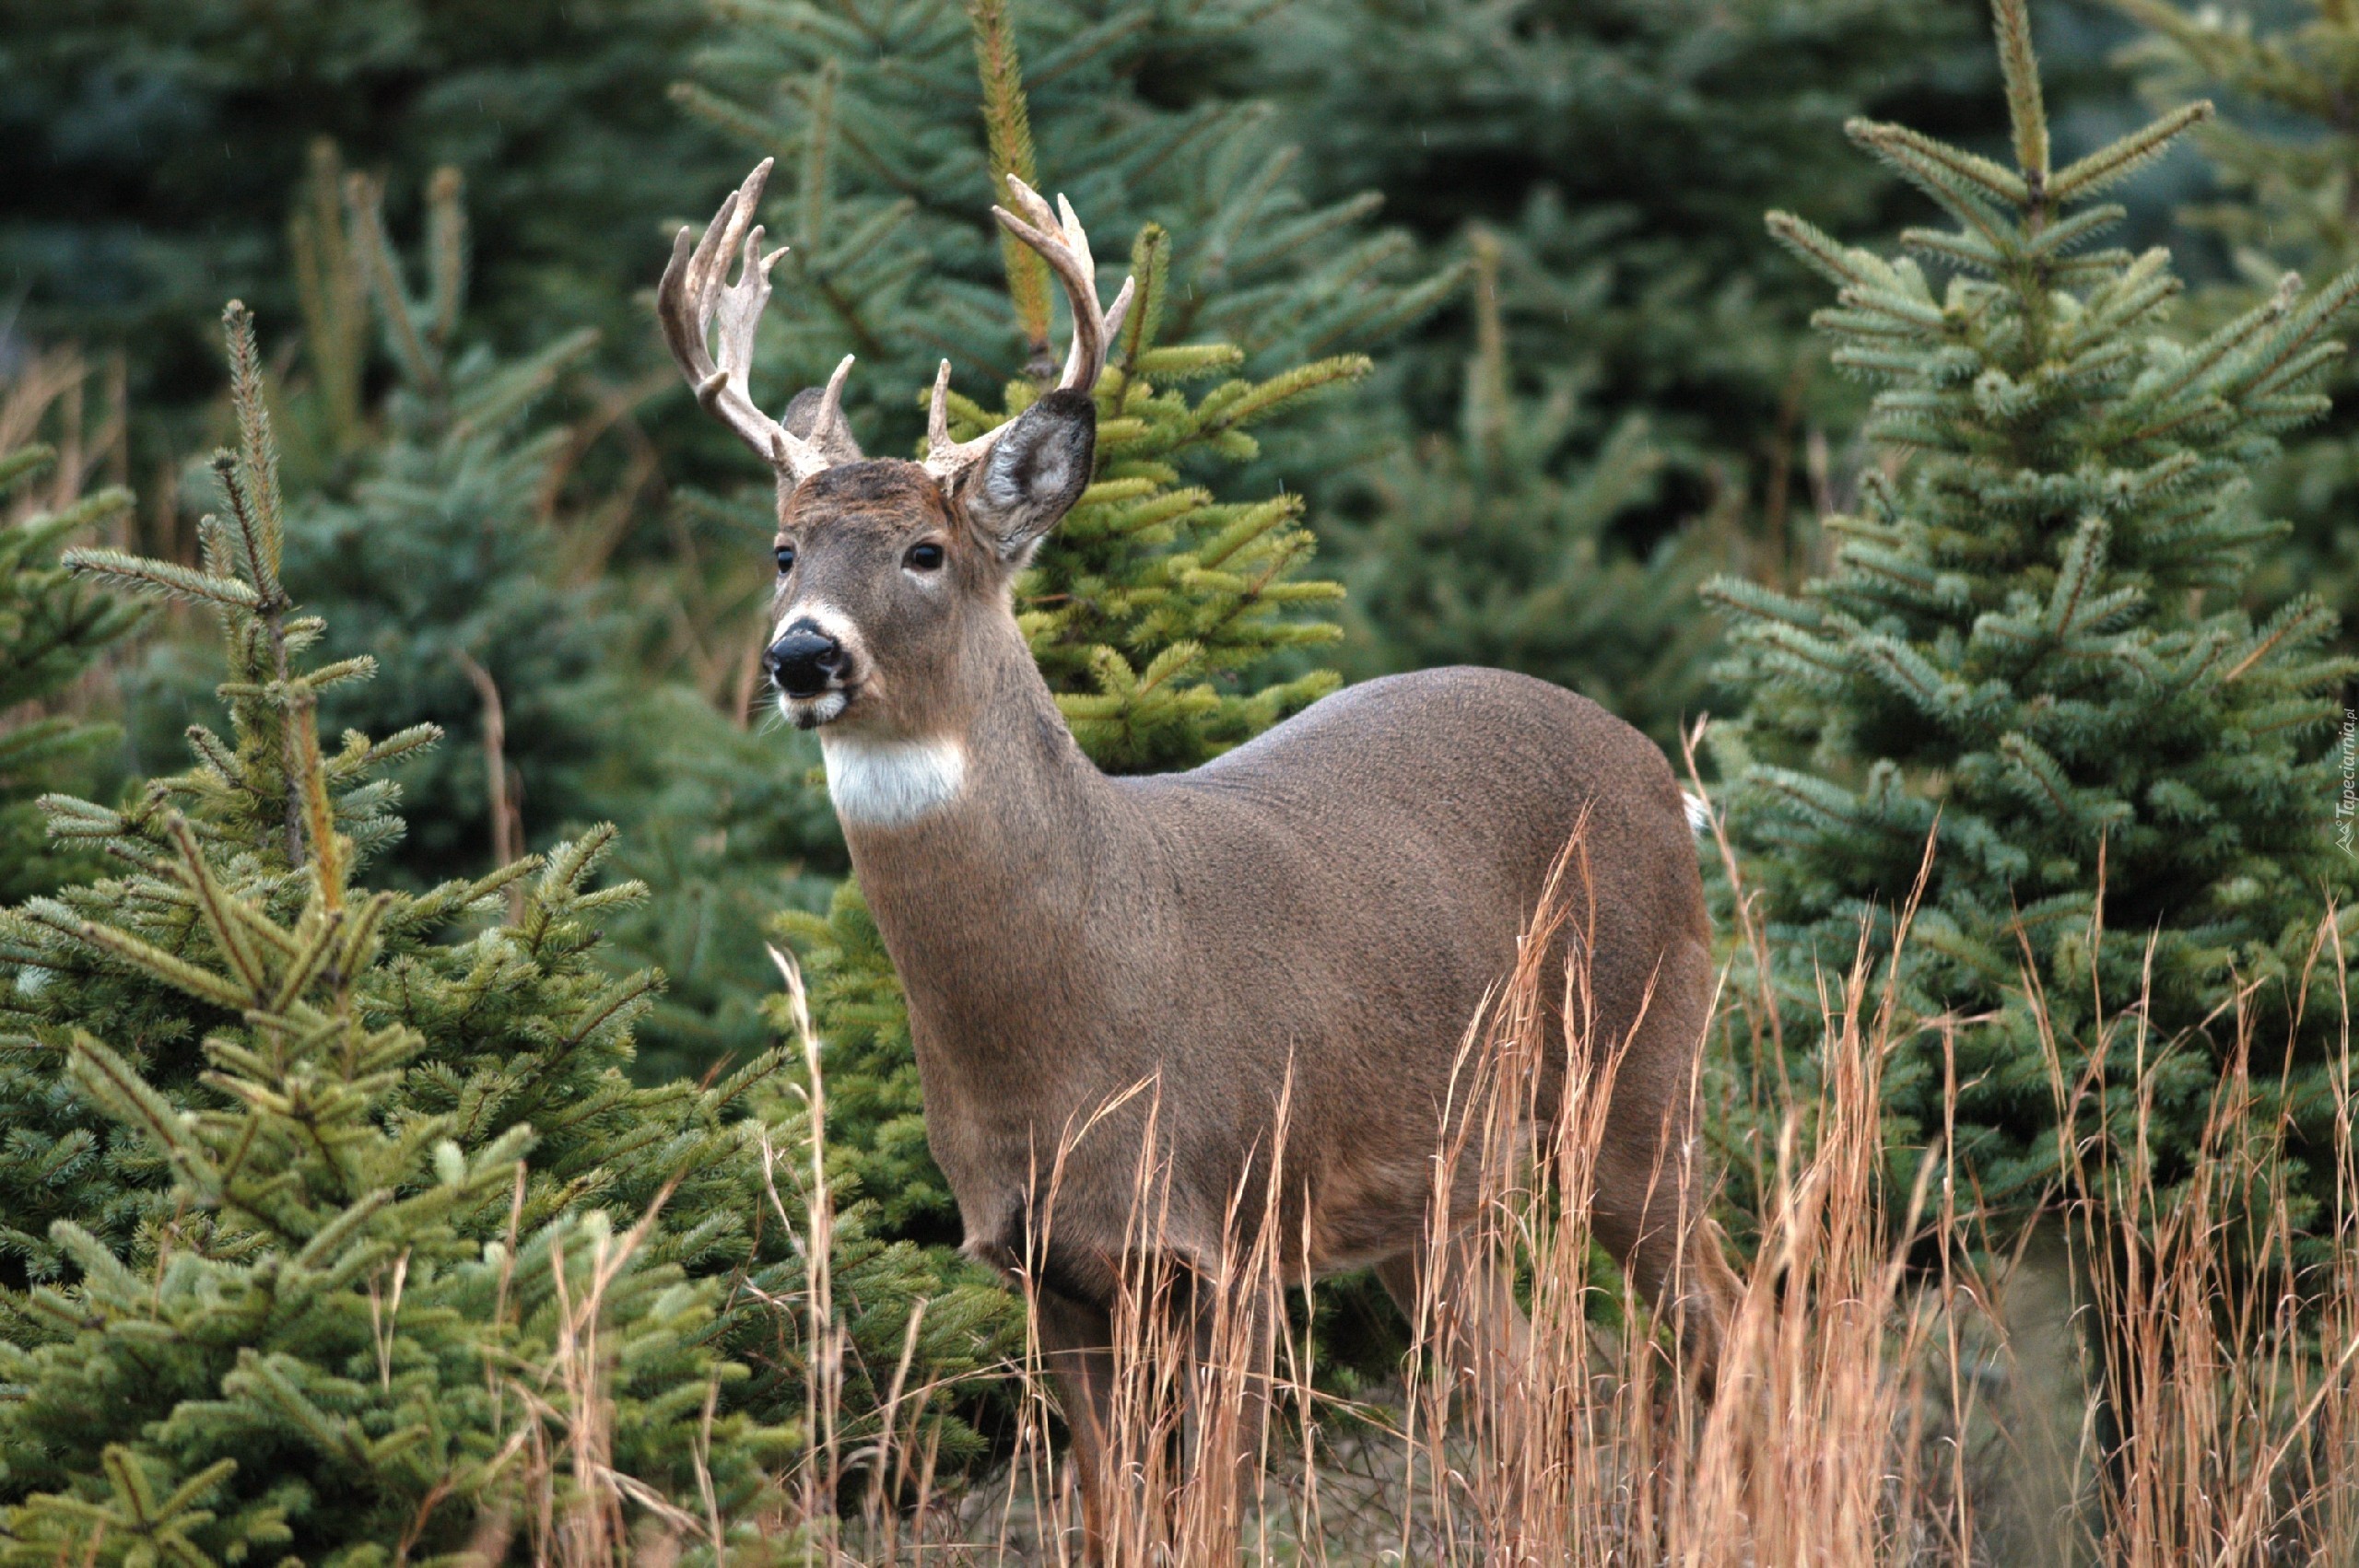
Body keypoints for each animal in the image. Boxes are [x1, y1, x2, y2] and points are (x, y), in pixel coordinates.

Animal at [655, 155, 1745, 1556]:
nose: (802, 654)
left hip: (1644, 1059)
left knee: (1717, 1310)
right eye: (783, 550)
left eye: (924, 551)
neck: (1063, 1023)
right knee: (1527, 1388)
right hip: (1439, 1189)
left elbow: (1212, 1512)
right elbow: (1116, 1505)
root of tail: (1658, 770)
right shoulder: (1040, 1262)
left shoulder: (1232, 1226)